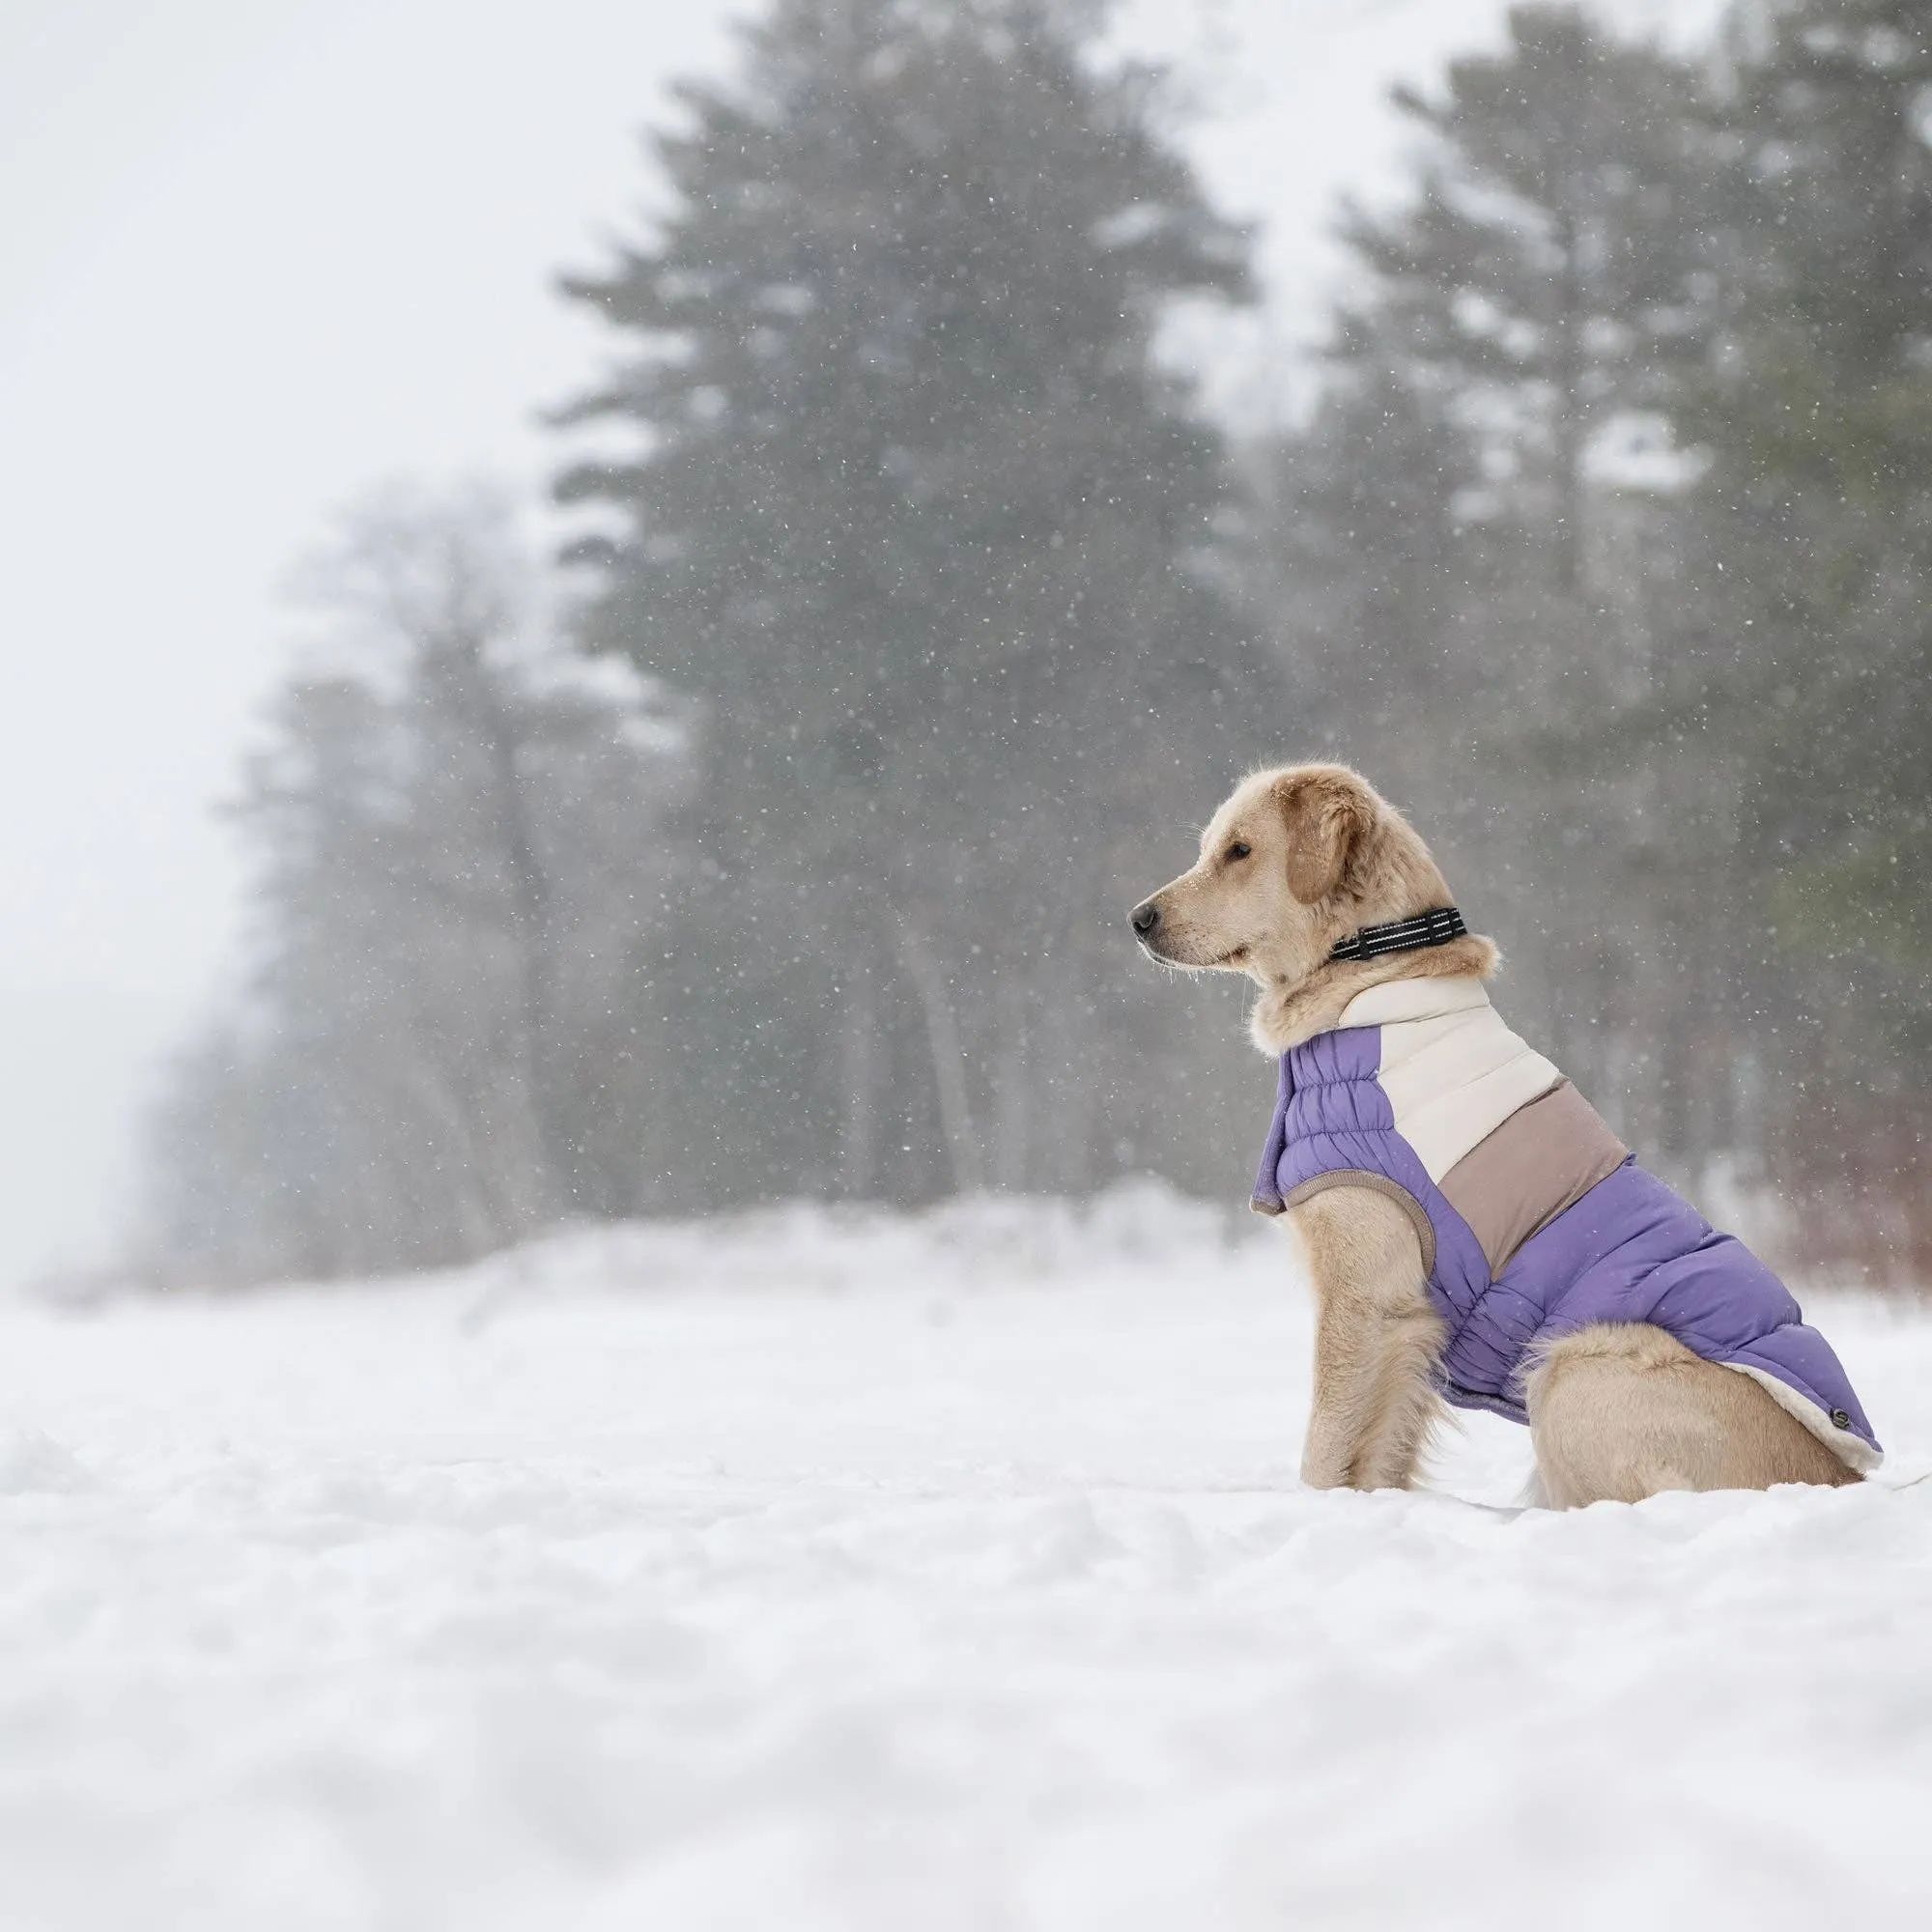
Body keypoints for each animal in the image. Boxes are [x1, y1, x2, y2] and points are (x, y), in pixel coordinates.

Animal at [1128, 761, 1870, 1499]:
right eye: (1210, 847)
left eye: (1240, 851)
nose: (1138, 919)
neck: (1368, 970)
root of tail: (1841, 1472)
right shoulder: (1411, 1330)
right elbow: (1379, 1455)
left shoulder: (1367, 1298)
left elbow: (1325, 1449)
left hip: (1573, 1365)